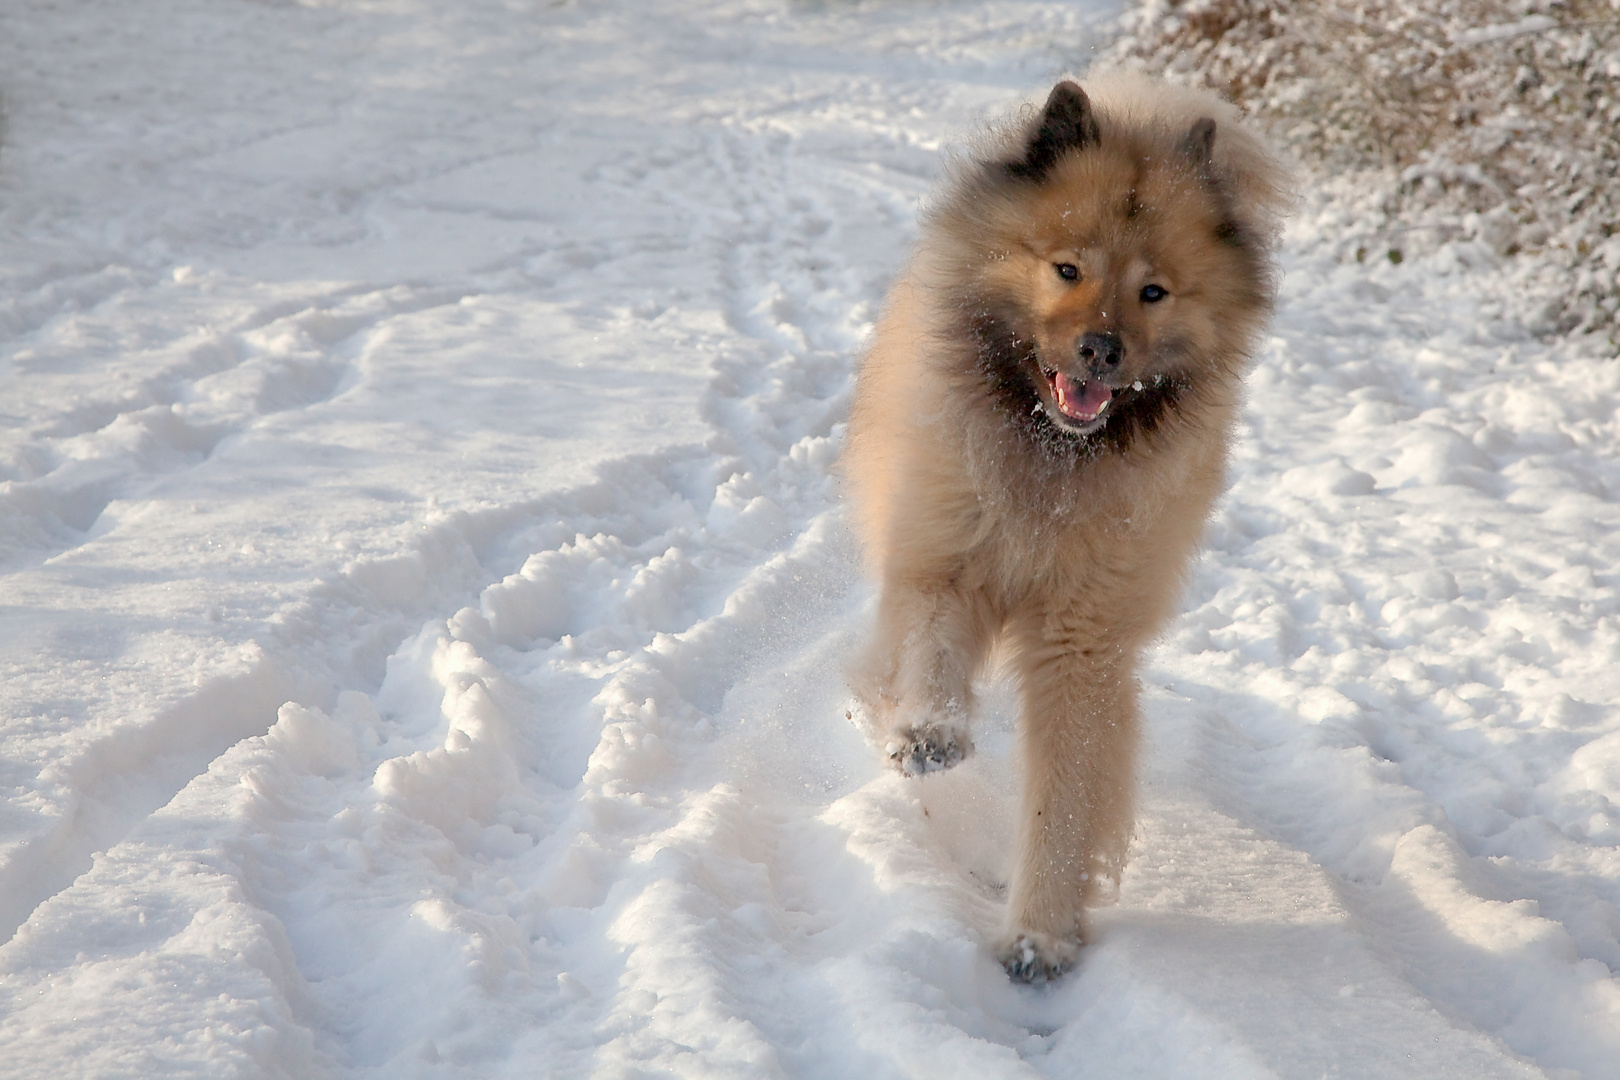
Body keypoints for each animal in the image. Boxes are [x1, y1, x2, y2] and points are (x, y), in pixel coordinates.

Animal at [842, 69, 1283, 977]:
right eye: (1067, 268)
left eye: (1153, 291)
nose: (1102, 350)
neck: (1052, 462)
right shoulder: (942, 559)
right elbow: (932, 654)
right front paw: (930, 732)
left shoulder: (1080, 639)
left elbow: (1065, 799)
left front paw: (1040, 933)